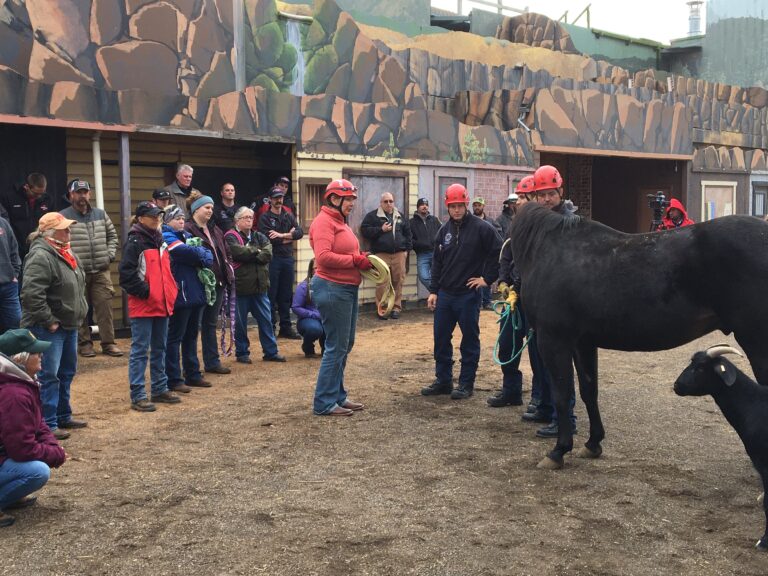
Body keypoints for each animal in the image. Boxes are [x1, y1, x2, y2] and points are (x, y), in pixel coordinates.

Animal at [510, 202, 768, 468]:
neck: (549, 250)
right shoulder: (583, 342)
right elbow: (589, 390)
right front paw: (593, 443)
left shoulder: (553, 340)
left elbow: (561, 395)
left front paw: (558, 451)